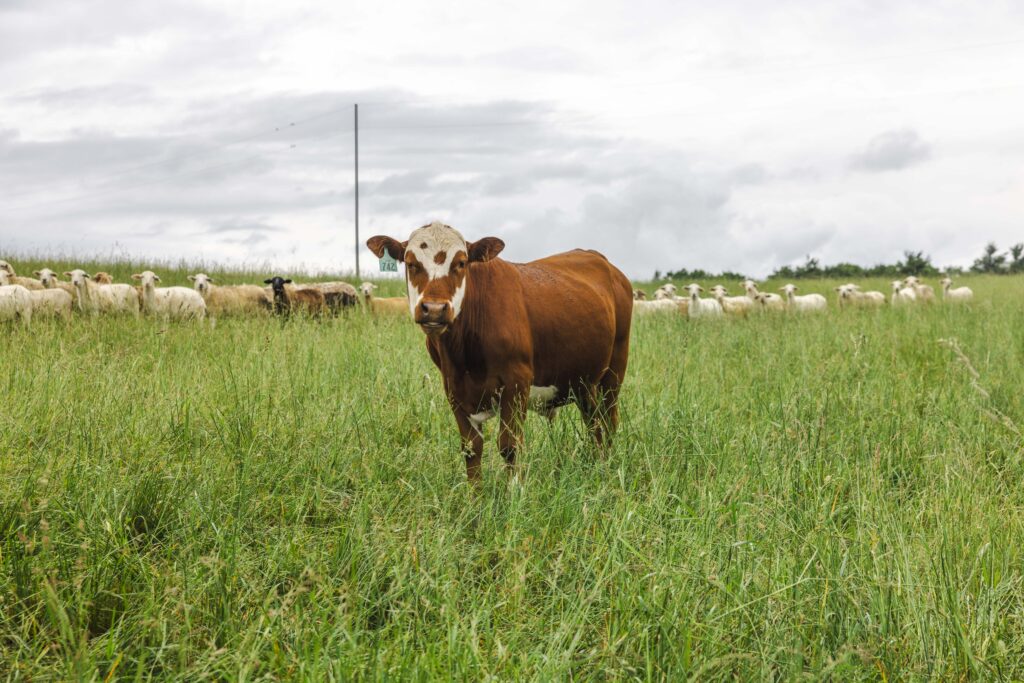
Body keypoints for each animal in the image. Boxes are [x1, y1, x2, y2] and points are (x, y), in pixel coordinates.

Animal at [367, 221, 633, 481]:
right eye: (411, 263)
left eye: (461, 263)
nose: (433, 309)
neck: (465, 355)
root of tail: (599, 259)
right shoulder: (453, 386)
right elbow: (471, 449)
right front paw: (475, 495)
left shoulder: (517, 382)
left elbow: (510, 446)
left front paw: (515, 491)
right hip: (584, 379)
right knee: (593, 421)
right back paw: (596, 464)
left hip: (615, 369)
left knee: (609, 420)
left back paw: (608, 468)